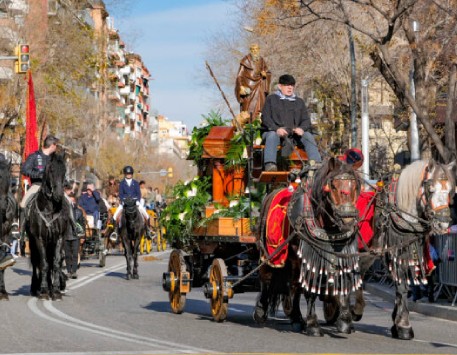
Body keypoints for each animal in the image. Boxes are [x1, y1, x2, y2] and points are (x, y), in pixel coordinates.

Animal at [25, 154, 68, 302]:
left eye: (64, 171)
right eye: (51, 170)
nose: (59, 195)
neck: (50, 208)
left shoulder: (59, 238)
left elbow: (55, 263)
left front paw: (55, 290)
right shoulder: (40, 239)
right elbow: (43, 264)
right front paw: (43, 290)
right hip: (32, 242)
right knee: (35, 262)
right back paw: (35, 287)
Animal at [253, 158, 360, 336]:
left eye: (355, 187)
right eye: (333, 186)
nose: (348, 219)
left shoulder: (339, 254)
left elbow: (343, 282)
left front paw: (345, 320)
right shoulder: (306, 256)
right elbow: (310, 288)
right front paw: (313, 324)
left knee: (293, 285)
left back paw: (296, 317)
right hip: (270, 253)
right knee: (268, 279)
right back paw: (262, 311)